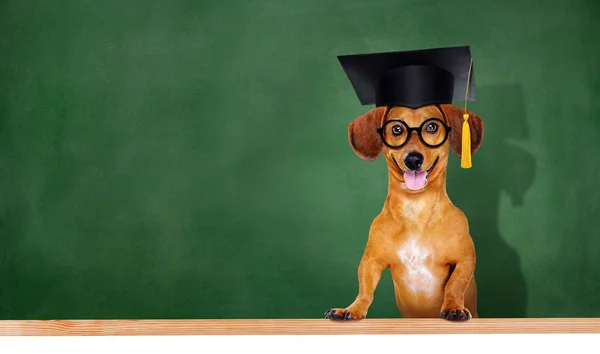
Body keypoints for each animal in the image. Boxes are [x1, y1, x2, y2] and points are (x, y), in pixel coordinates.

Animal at [324, 102, 482, 320]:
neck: (415, 209)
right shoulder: (370, 262)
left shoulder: (465, 260)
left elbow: (455, 285)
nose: (413, 159)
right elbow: (365, 291)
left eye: (432, 126)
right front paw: (352, 309)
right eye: (397, 129)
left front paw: (453, 307)